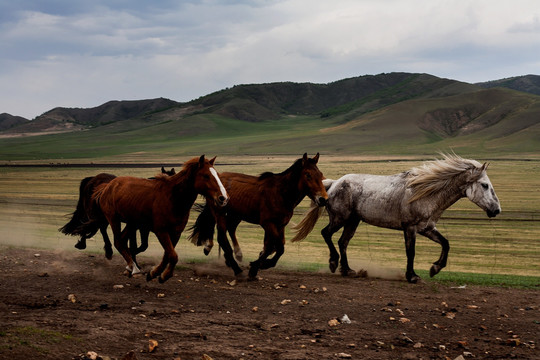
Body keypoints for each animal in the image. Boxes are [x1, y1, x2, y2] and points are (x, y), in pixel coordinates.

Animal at [93, 156, 228, 282]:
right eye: (206, 175)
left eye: (217, 174)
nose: (223, 198)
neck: (173, 198)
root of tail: (107, 186)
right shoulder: (161, 231)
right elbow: (173, 256)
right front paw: (162, 275)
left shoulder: (175, 233)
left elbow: (168, 255)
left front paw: (154, 274)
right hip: (114, 218)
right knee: (118, 241)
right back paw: (133, 268)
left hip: (132, 223)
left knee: (122, 240)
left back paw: (130, 268)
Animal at [190, 153, 326, 280]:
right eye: (308, 175)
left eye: (320, 174)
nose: (323, 199)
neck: (281, 193)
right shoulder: (268, 223)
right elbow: (277, 247)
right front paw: (258, 266)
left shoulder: (280, 225)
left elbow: (274, 246)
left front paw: (258, 265)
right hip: (220, 213)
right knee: (221, 236)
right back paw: (234, 265)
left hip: (235, 215)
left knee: (229, 228)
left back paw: (233, 254)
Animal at [294, 155, 500, 284]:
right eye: (484, 185)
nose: (496, 210)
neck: (425, 193)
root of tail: (334, 184)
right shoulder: (410, 228)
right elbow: (411, 252)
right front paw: (412, 276)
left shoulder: (427, 228)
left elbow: (446, 243)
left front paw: (435, 268)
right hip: (340, 218)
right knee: (326, 234)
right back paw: (333, 263)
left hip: (353, 222)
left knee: (342, 242)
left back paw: (348, 270)